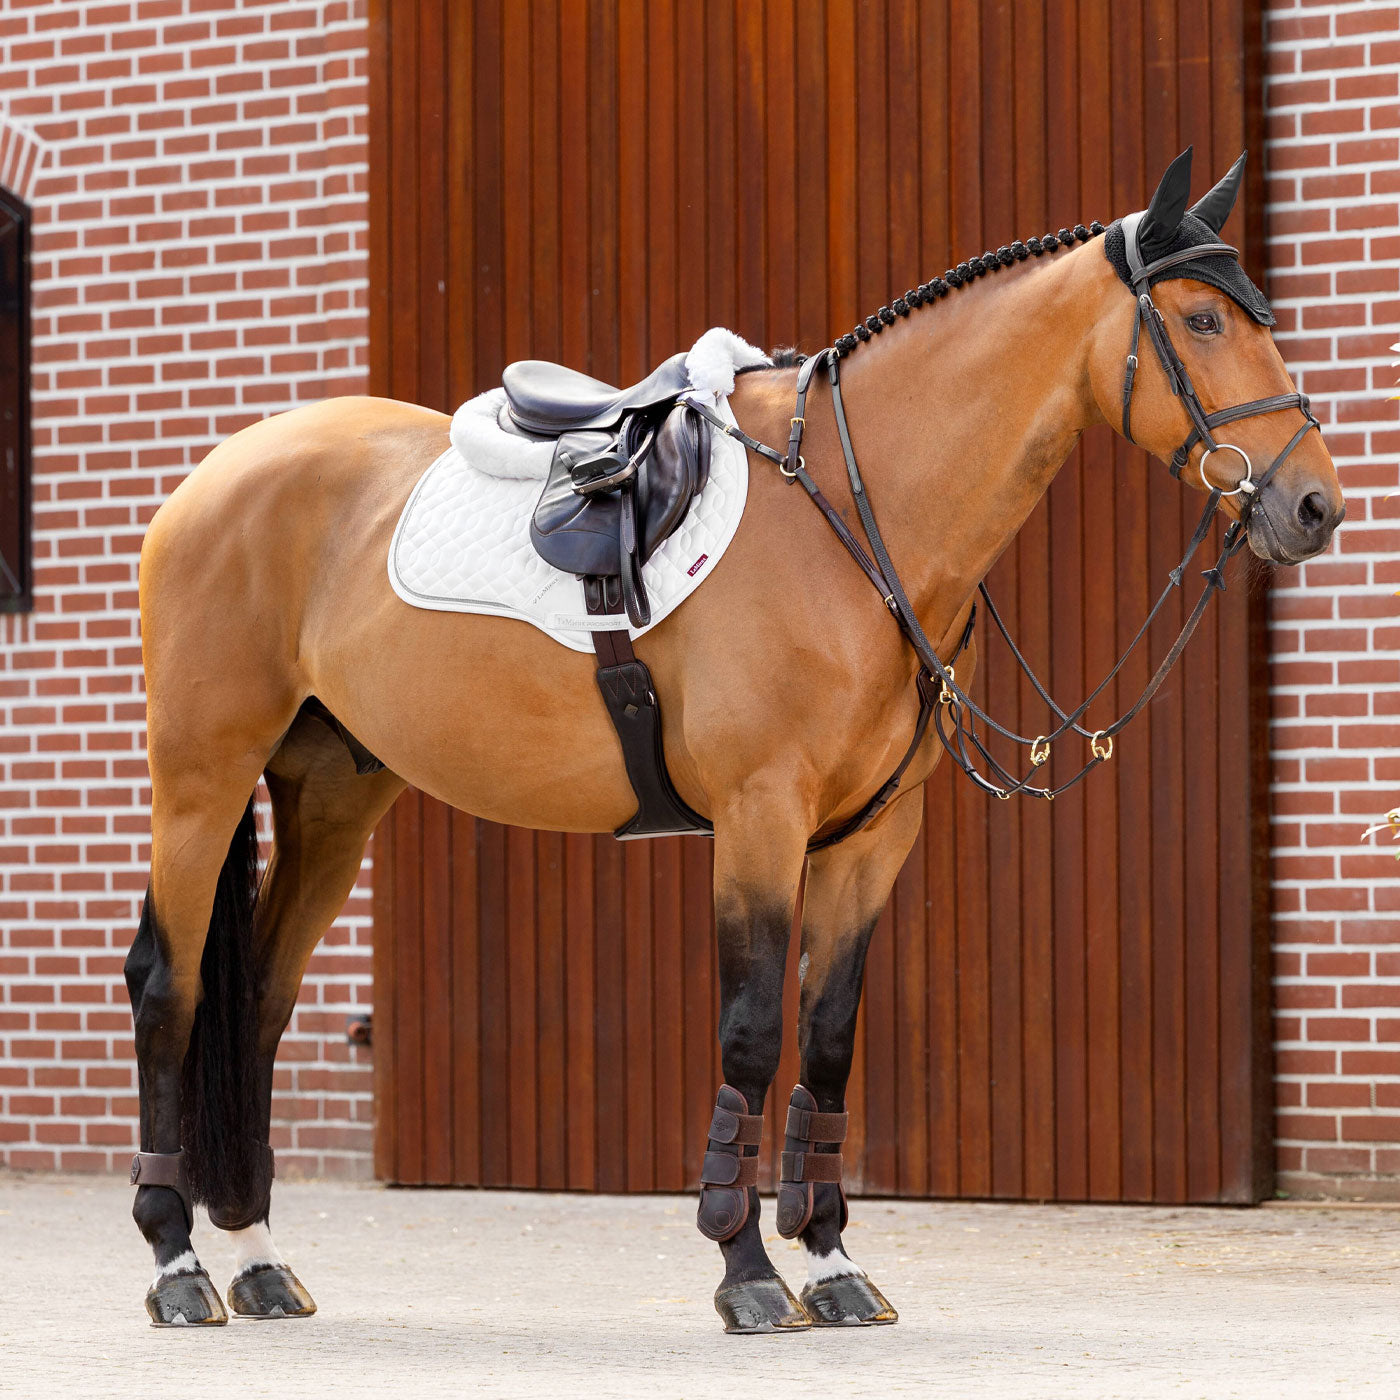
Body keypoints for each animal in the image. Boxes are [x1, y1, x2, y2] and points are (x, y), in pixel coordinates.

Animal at [124, 148, 1342, 1332]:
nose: (1313, 506)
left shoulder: (871, 837)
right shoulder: (761, 818)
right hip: (202, 778)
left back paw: (257, 1257)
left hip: (335, 795)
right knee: (167, 986)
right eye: (1200, 321)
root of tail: (207, 482)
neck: (855, 513)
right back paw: (177, 1261)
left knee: (260, 998)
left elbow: (829, 1036)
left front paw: (833, 1262)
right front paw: (745, 1266)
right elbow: (753, 1031)